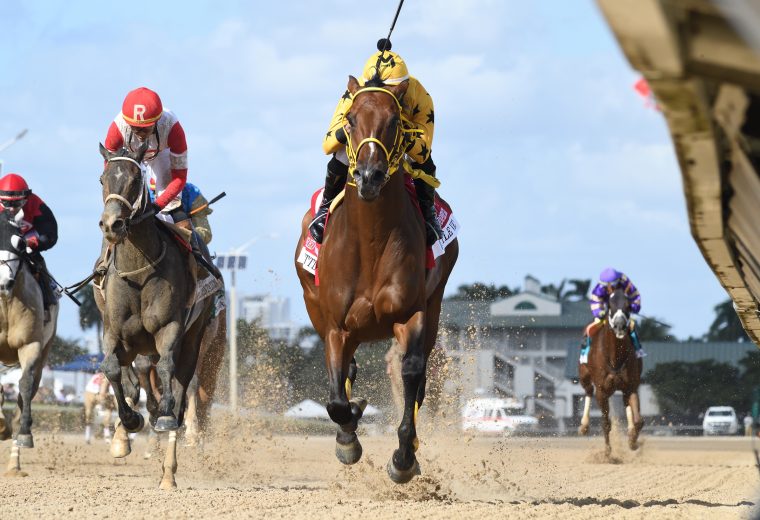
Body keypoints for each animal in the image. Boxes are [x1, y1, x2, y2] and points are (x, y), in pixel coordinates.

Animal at [95, 144, 220, 490]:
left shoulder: (170, 328)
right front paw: (129, 422)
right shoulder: (114, 331)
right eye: (103, 179)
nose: (112, 224)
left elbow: (168, 374)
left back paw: (169, 470)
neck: (139, 271)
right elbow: (112, 369)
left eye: (135, 179)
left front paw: (162, 419)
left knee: (181, 388)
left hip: (197, 338)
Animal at [296, 76, 460, 484]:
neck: (370, 241)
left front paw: (403, 457)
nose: (369, 177)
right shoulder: (336, 326)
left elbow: (412, 373)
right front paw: (348, 438)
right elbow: (336, 399)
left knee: (418, 378)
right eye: (350, 119)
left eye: (394, 121)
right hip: (315, 306)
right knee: (348, 371)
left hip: (434, 305)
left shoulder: (410, 314)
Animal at [580, 288, 644, 456]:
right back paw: (584, 426)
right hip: (584, 376)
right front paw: (608, 451)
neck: (615, 357)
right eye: (610, 305)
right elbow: (605, 423)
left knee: (626, 403)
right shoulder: (601, 390)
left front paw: (633, 441)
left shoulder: (631, 386)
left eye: (628, 305)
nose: (620, 325)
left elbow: (638, 420)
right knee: (588, 391)